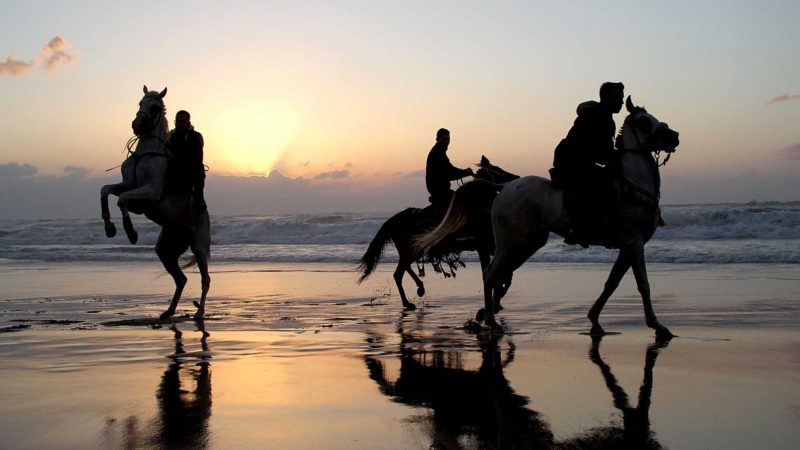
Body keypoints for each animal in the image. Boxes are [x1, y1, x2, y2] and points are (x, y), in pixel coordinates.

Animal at [100, 87, 211, 320]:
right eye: (140, 103)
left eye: (155, 107)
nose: (136, 125)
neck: (146, 154)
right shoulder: (127, 185)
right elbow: (105, 191)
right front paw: (110, 228)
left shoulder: (150, 192)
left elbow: (122, 200)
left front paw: (131, 232)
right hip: (166, 249)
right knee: (181, 279)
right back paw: (168, 311)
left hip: (199, 247)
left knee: (205, 279)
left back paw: (199, 313)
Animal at [418, 96, 680, 340]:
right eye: (644, 121)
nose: (674, 136)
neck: (633, 186)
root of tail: (503, 187)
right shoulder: (634, 243)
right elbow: (643, 285)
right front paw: (658, 326)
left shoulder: (627, 247)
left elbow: (611, 283)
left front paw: (594, 318)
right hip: (510, 244)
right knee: (491, 274)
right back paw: (491, 321)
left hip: (528, 243)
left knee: (498, 275)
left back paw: (488, 315)